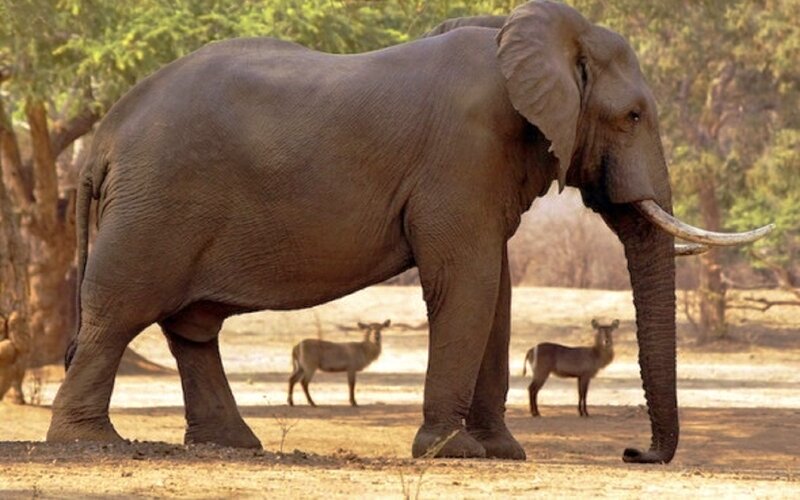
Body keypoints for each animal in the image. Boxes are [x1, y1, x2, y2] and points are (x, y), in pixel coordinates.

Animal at [47, 0, 771, 463]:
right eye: (633, 115)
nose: (632, 452)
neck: (521, 31)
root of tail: (103, 137)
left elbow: (496, 291)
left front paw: (504, 454)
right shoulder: (463, 154)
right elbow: (468, 283)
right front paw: (456, 453)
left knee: (191, 328)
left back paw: (233, 446)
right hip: (157, 205)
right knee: (119, 310)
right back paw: (90, 444)